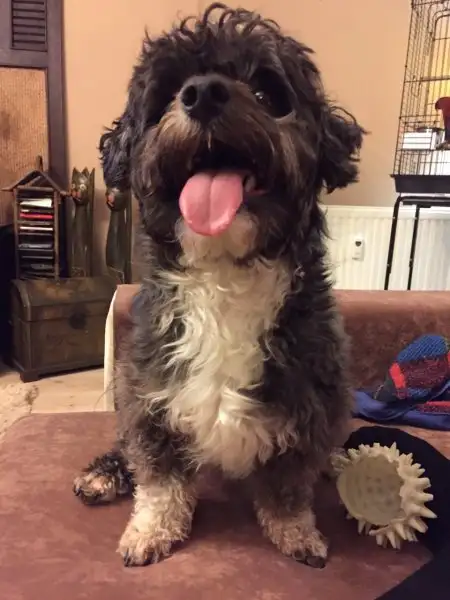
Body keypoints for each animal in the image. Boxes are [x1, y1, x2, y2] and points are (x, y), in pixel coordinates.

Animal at [73, 3, 364, 569]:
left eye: (268, 91)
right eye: (169, 90)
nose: (203, 93)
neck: (225, 272)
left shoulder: (310, 401)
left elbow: (288, 485)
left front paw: (296, 531)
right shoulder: (148, 395)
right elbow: (159, 479)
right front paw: (151, 529)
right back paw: (103, 474)